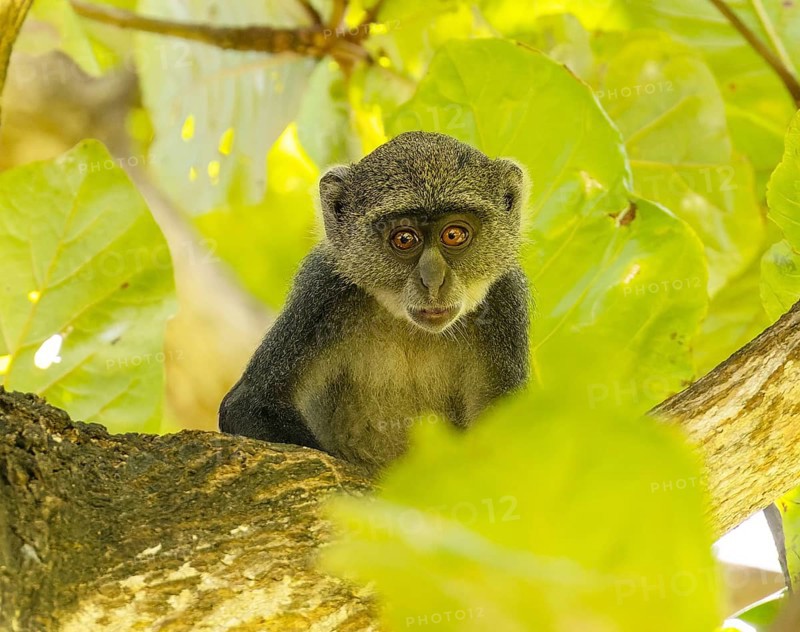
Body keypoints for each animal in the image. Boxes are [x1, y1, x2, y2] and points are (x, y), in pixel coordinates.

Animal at [218, 131, 530, 474]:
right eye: (404, 239)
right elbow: (249, 405)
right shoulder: (322, 293)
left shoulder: (505, 302)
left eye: (454, 235)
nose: (433, 281)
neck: (411, 330)